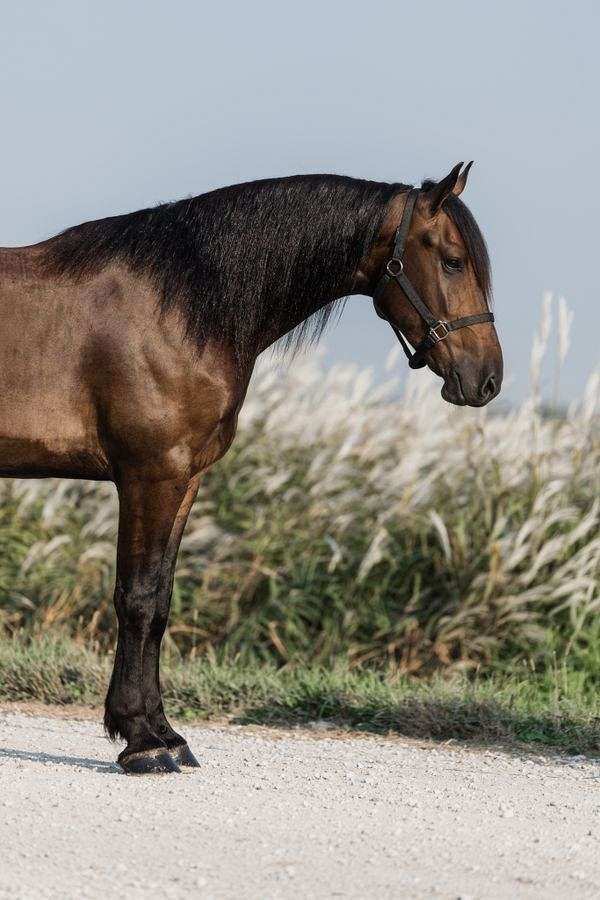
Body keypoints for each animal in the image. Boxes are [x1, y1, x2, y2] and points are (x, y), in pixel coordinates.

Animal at [0, 162, 502, 773]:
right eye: (453, 261)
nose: (487, 379)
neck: (177, 306)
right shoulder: (150, 475)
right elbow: (137, 599)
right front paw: (143, 742)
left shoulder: (185, 480)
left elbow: (160, 600)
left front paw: (164, 732)